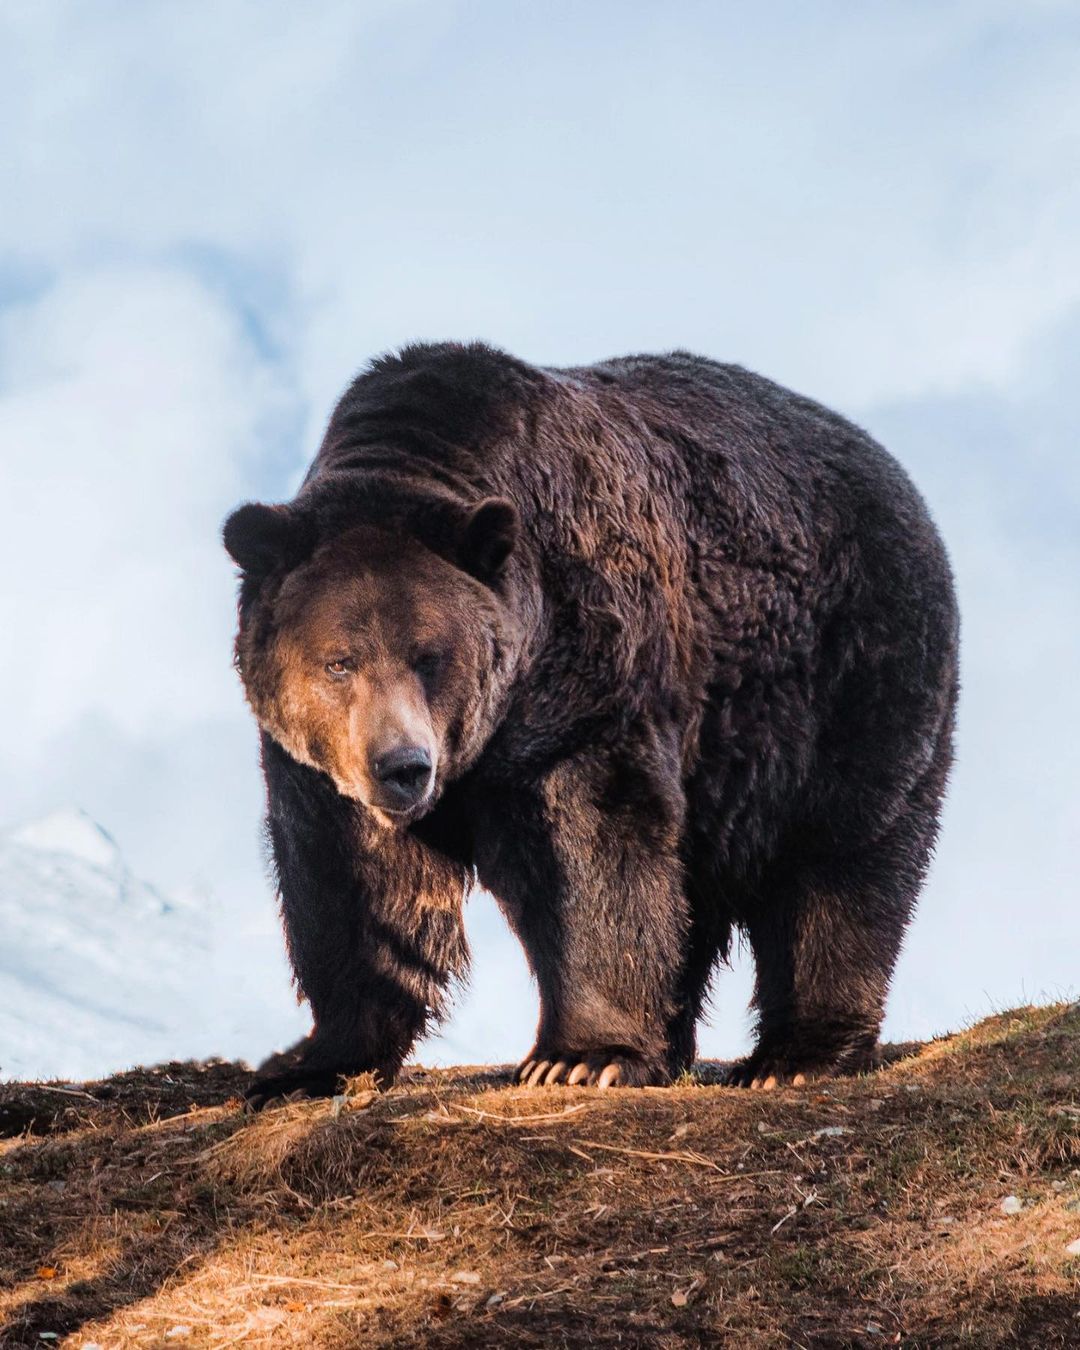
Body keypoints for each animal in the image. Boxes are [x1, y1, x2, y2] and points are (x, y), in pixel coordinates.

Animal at [224, 340, 955, 1107]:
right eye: (339, 662)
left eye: (430, 656)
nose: (402, 768)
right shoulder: (318, 766)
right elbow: (349, 885)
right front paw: (308, 1067)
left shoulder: (579, 688)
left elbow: (591, 854)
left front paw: (581, 1055)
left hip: (843, 678)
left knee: (839, 860)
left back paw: (798, 1053)